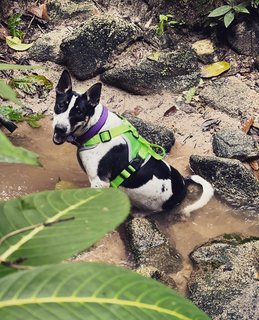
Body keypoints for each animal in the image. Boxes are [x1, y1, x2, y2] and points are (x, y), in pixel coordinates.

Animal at [53, 69, 215, 216]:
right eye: (61, 105)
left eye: (79, 112)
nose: (60, 128)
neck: (97, 128)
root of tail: (182, 182)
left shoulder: (100, 182)